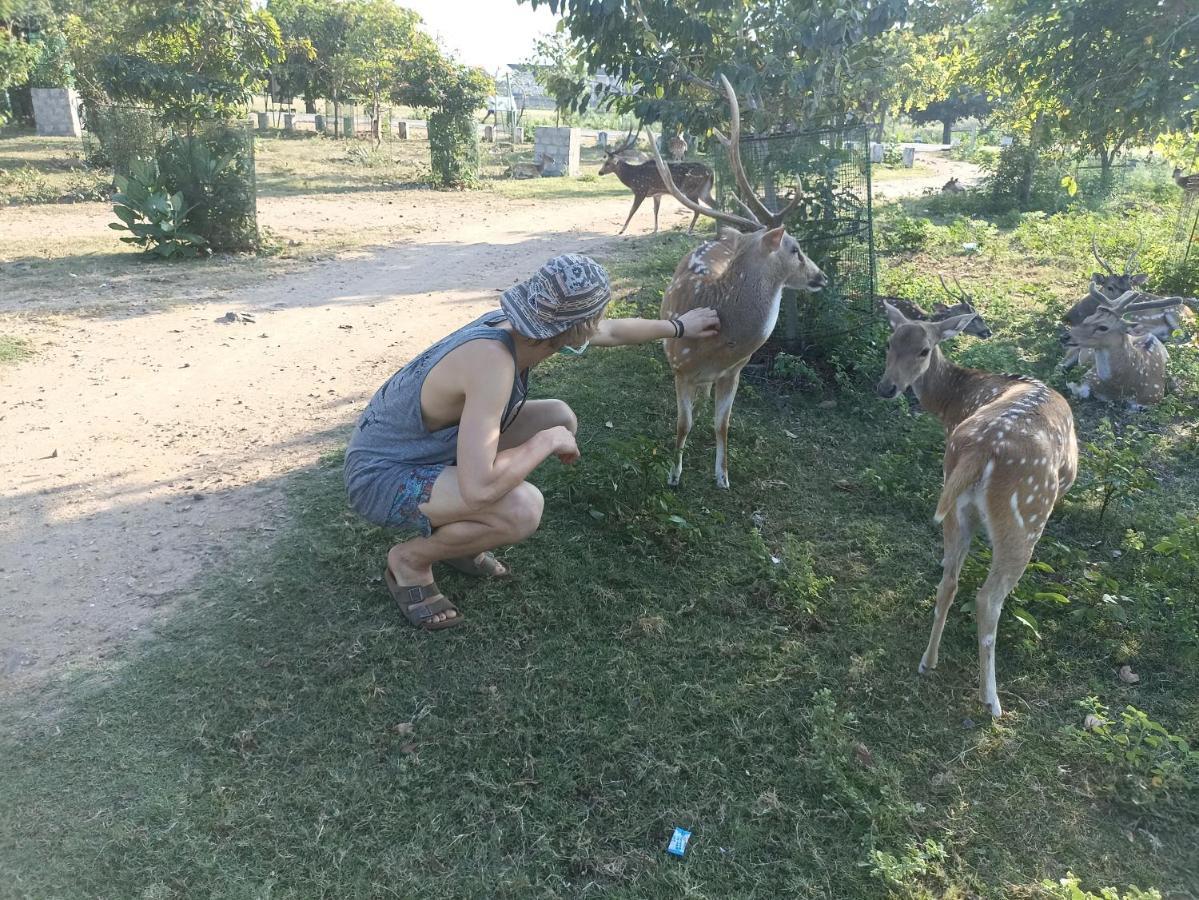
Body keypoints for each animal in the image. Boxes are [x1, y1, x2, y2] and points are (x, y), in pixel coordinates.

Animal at [652, 74, 829, 488]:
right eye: (796, 248)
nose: (821, 276)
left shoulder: (735, 371)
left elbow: (723, 425)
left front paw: (722, 476)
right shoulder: (680, 368)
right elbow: (683, 425)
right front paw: (673, 475)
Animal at [877, 303, 1083, 719]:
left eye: (923, 349)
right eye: (890, 342)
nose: (886, 387)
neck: (953, 403)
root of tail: (981, 451)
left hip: (955, 503)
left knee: (949, 581)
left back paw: (928, 661)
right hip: (1024, 518)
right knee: (988, 600)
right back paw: (992, 699)